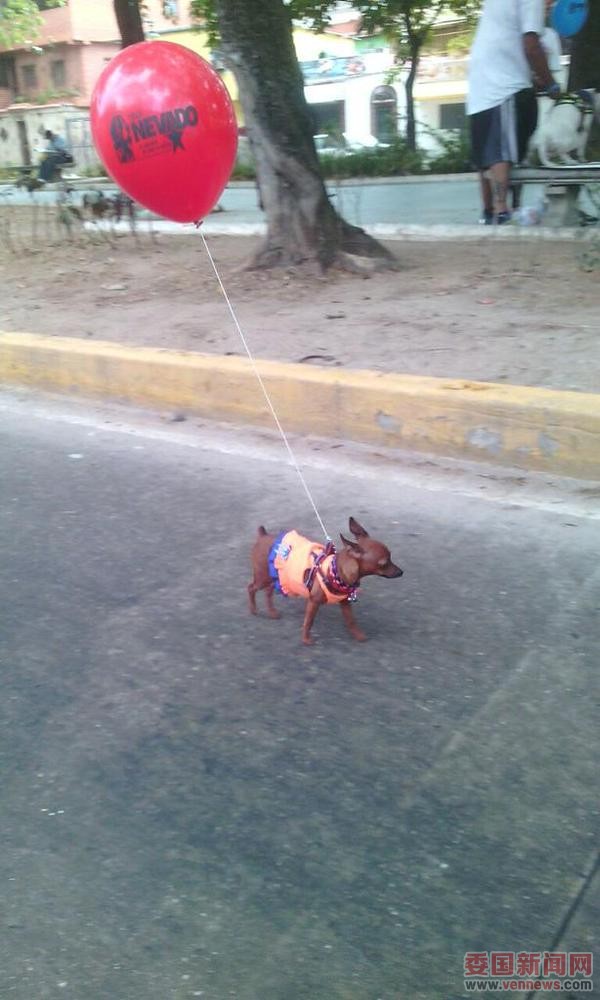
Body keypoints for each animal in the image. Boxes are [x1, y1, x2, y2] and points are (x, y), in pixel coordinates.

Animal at [248, 520, 404, 644]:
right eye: (384, 563)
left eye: (391, 557)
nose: (401, 572)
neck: (335, 571)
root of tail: (263, 535)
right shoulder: (314, 602)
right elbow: (309, 621)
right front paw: (306, 639)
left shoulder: (345, 603)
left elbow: (351, 620)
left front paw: (358, 635)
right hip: (263, 578)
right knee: (251, 587)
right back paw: (253, 610)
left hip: (274, 578)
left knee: (268, 592)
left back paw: (272, 612)